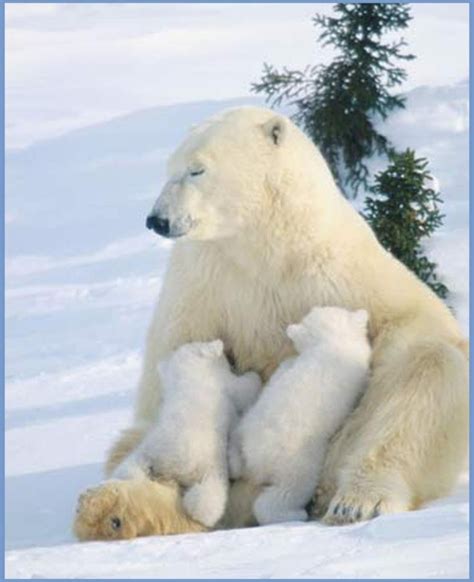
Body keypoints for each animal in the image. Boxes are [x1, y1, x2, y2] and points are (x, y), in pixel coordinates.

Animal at [73, 106, 466, 544]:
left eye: (196, 170)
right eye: (170, 168)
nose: (157, 220)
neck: (265, 246)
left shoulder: (336, 270)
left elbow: (417, 325)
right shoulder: (205, 283)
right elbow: (172, 362)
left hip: (340, 444)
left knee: (426, 378)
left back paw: (356, 501)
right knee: (131, 448)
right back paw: (114, 509)